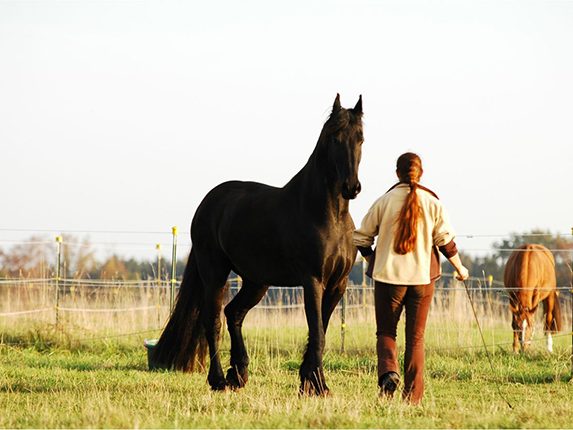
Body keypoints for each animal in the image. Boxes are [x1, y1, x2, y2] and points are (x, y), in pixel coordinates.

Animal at [149, 92, 362, 394]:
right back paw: (218, 380)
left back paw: (238, 373)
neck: (327, 214)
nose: (351, 187)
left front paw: (311, 382)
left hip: (256, 281)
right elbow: (317, 332)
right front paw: (317, 385)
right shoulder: (313, 281)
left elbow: (321, 330)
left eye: (361, 138)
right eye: (334, 138)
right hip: (215, 272)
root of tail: (209, 202)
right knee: (213, 321)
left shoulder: (337, 284)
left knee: (234, 313)